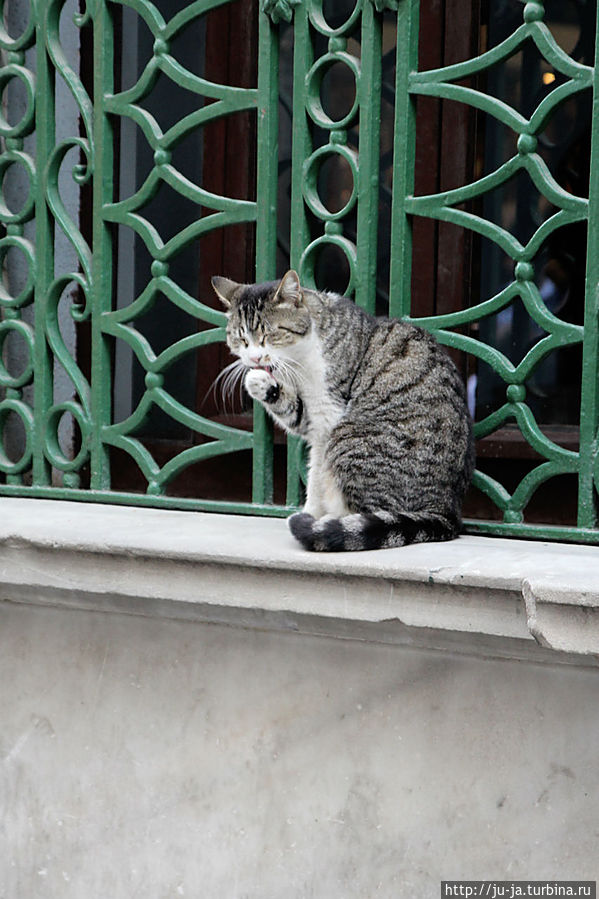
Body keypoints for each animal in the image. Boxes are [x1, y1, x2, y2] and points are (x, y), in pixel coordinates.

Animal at [213, 270, 476, 552]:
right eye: (240, 339)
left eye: (269, 335)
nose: (255, 359)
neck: (300, 359)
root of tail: (446, 511)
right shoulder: (311, 419)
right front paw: (260, 383)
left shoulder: (328, 416)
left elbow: (316, 477)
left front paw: (311, 517)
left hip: (349, 437)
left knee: (373, 513)